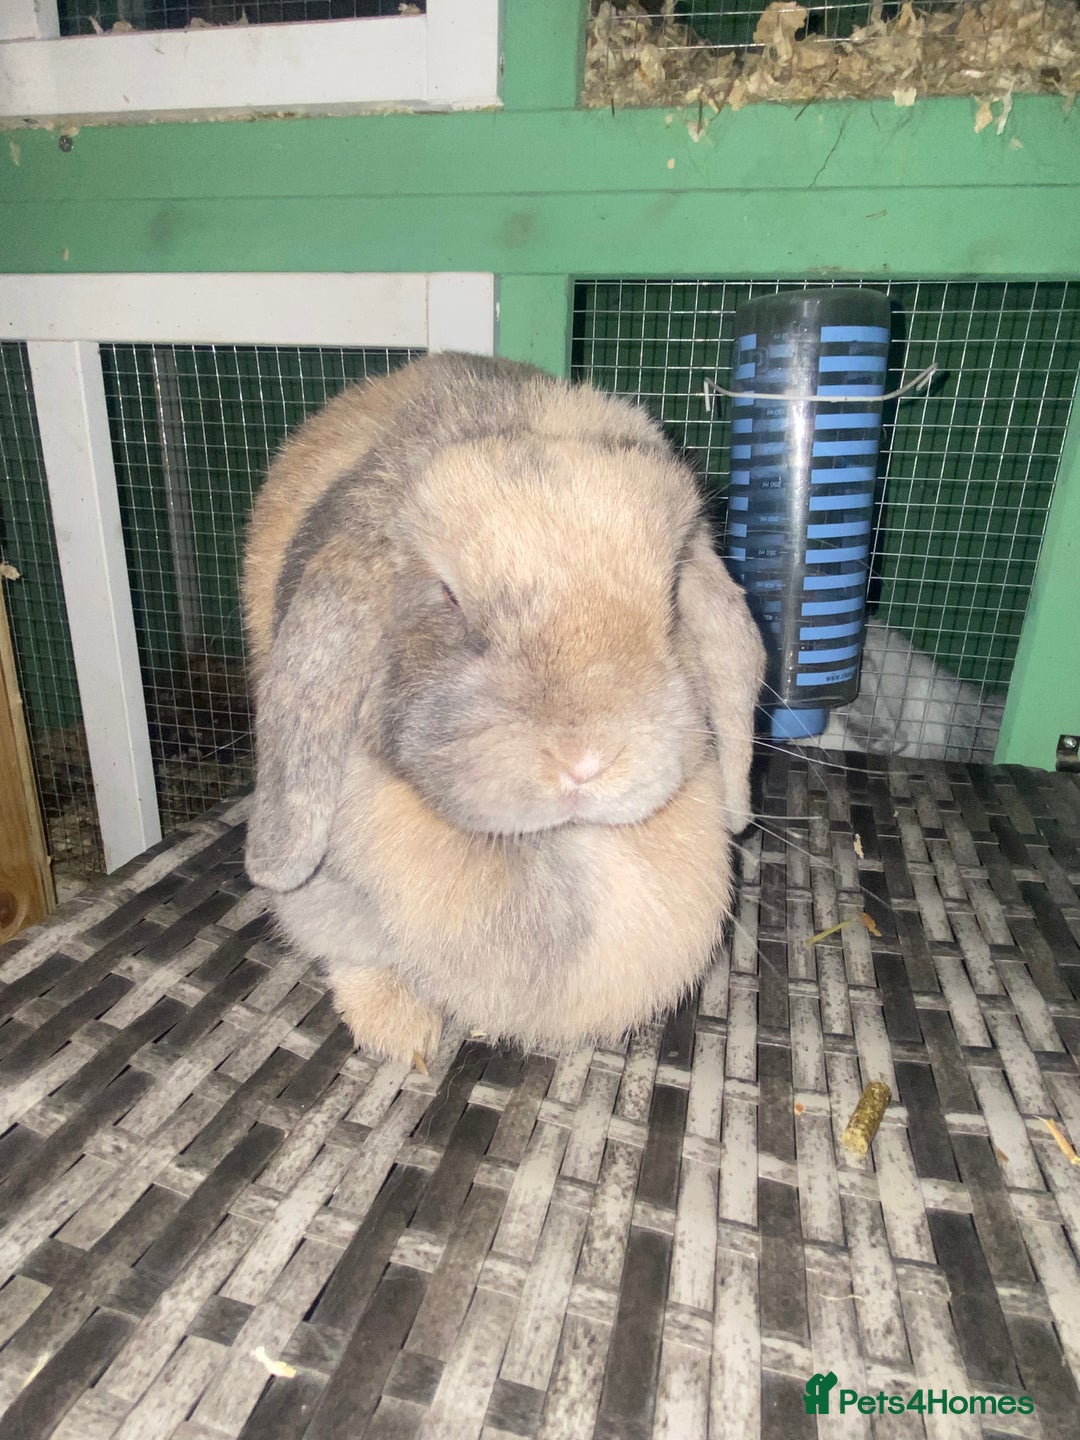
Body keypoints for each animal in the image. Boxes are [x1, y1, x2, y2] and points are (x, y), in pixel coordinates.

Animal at [243, 352, 764, 1065]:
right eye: (447, 596)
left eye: (669, 599)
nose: (585, 759)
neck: (552, 849)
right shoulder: (329, 892)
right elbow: (355, 952)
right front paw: (399, 1033)